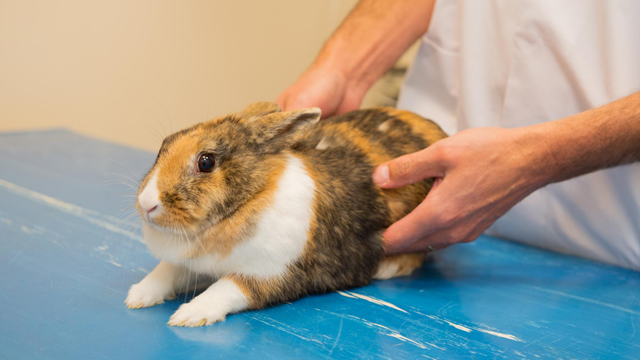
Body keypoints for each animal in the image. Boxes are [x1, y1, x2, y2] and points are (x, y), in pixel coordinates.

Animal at [124, 100, 444, 326]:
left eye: (206, 162)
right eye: (164, 145)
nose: (147, 203)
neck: (252, 197)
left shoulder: (272, 274)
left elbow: (226, 288)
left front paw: (189, 315)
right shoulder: (189, 264)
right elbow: (168, 271)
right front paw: (138, 296)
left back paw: (388, 267)